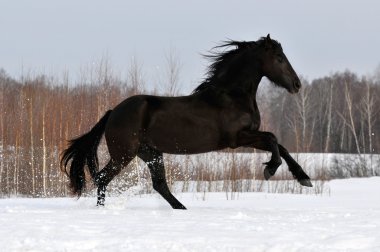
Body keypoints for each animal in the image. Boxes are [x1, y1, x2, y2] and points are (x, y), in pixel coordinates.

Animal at [61, 34, 312, 210]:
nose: (297, 84)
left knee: (159, 184)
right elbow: (273, 139)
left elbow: (280, 146)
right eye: (279, 58)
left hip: (150, 153)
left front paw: (304, 178)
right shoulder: (238, 138)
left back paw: (181, 208)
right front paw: (270, 169)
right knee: (103, 178)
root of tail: (113, 111)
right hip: (124, 153)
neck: (232, 96)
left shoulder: (248, 136)